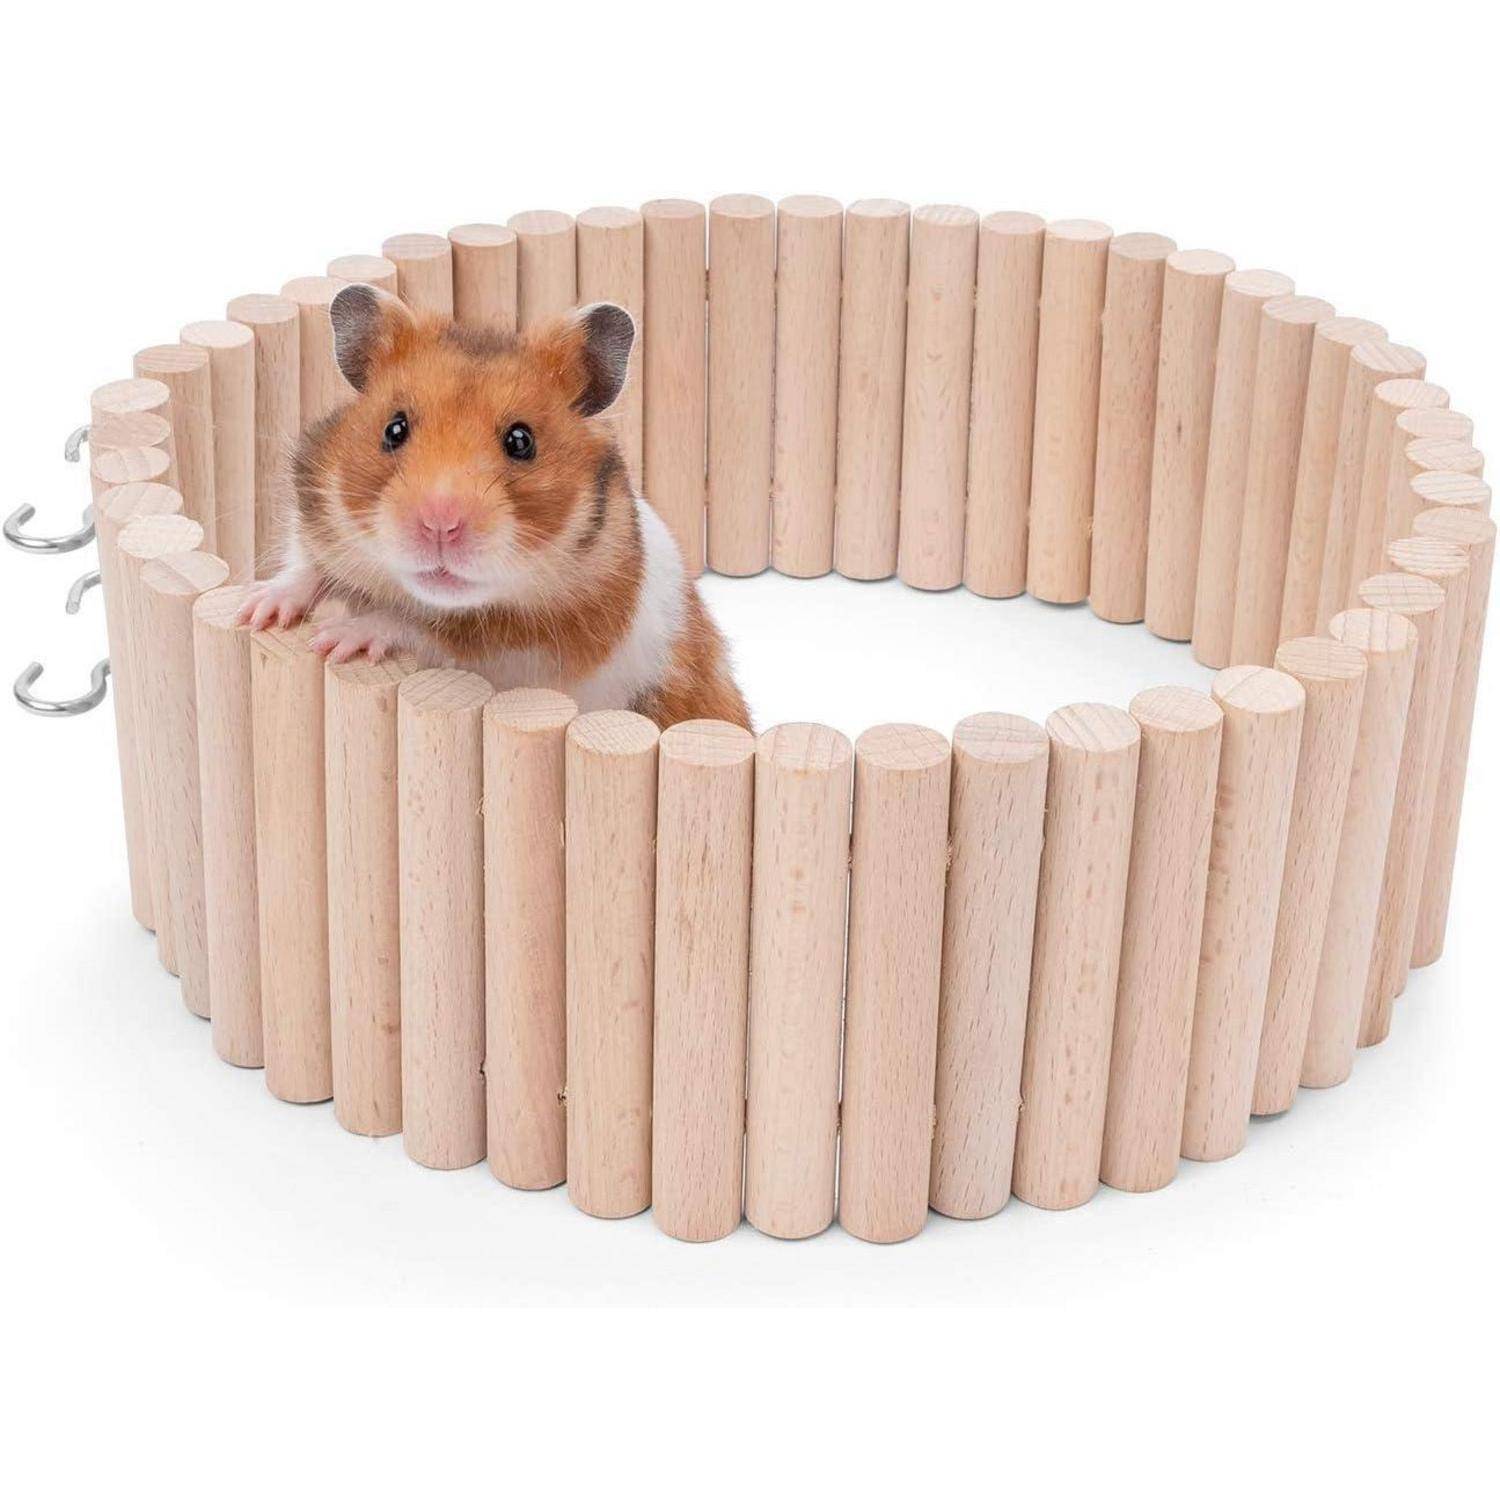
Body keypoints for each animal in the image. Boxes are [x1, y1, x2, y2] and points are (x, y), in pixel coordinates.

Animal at [239, 284, 749, 731]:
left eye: (521, 441)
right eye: (394, 429)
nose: (439, 524)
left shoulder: (532, 653)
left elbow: (429, 631)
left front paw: (339, 639)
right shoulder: (317, 510)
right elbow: (303, 564)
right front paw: (257, 611)